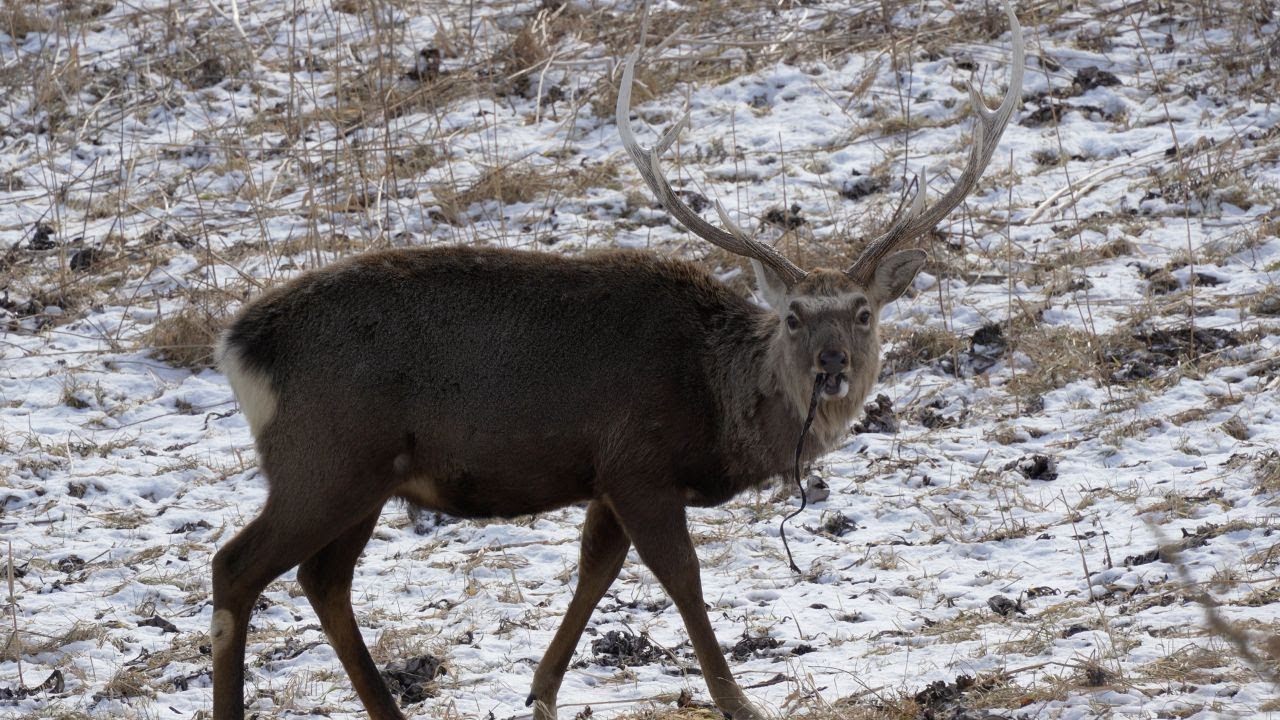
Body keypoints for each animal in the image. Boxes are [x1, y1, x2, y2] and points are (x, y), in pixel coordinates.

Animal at [210, 5, 1023, 719]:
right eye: (794, 315)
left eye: (863, 312)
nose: (831, 368)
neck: (716, 407)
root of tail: (241, 345)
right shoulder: (639, 462)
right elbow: (683, 580)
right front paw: (737, 701)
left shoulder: (603, 477)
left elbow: (594, 573)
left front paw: (540, 691)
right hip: (326, 457)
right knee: (236, 566)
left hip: (366, 478)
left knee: (323, 580)